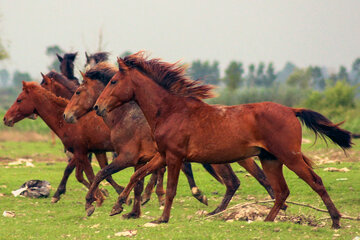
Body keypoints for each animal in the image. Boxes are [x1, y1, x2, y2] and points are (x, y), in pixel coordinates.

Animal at [93, 52, 352, 229]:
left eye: (114, 81)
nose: (97, 107)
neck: (171, 111)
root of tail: (291, 110)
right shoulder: (162, 156)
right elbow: (137, 175)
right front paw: (118, 206)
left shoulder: (175, 157)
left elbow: (171, 189)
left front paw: (162, 218)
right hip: (270, 160)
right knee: (281, 192)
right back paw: (267, 221)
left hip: (289, 156)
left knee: (315, 182)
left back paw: (336, 221)